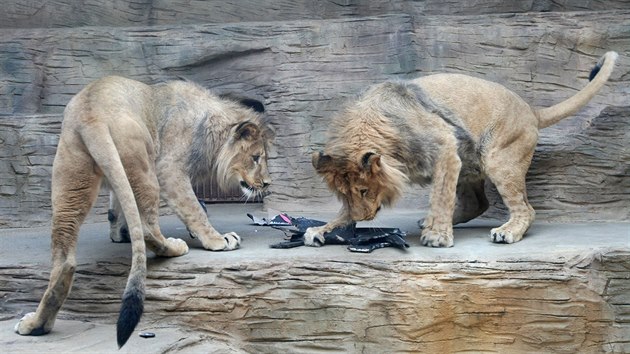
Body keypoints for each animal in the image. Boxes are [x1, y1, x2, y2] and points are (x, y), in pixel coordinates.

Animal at [12, 76, 274, 348]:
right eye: (256, 158)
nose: (267, 183)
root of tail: (91, 114)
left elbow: (117, 204)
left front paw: (120, 233)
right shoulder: (169, 168)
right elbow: (192, 207)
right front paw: (218, 239)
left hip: (71, 175)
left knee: (65, 257)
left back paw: (36, 324)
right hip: (144, 162)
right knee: (148, 228)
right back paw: (175, 247)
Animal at [308, 51, 620, 248]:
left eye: (363, 190)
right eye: (343, 194)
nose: (361, 219)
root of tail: (531, 110)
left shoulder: (446, 148)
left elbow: (441, 196)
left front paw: (438, 237)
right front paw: (322, 230)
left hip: (498, 159)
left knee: (526, 209)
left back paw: (506, 232)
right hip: (470, 162)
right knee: (477, 203)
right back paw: (429, 221)